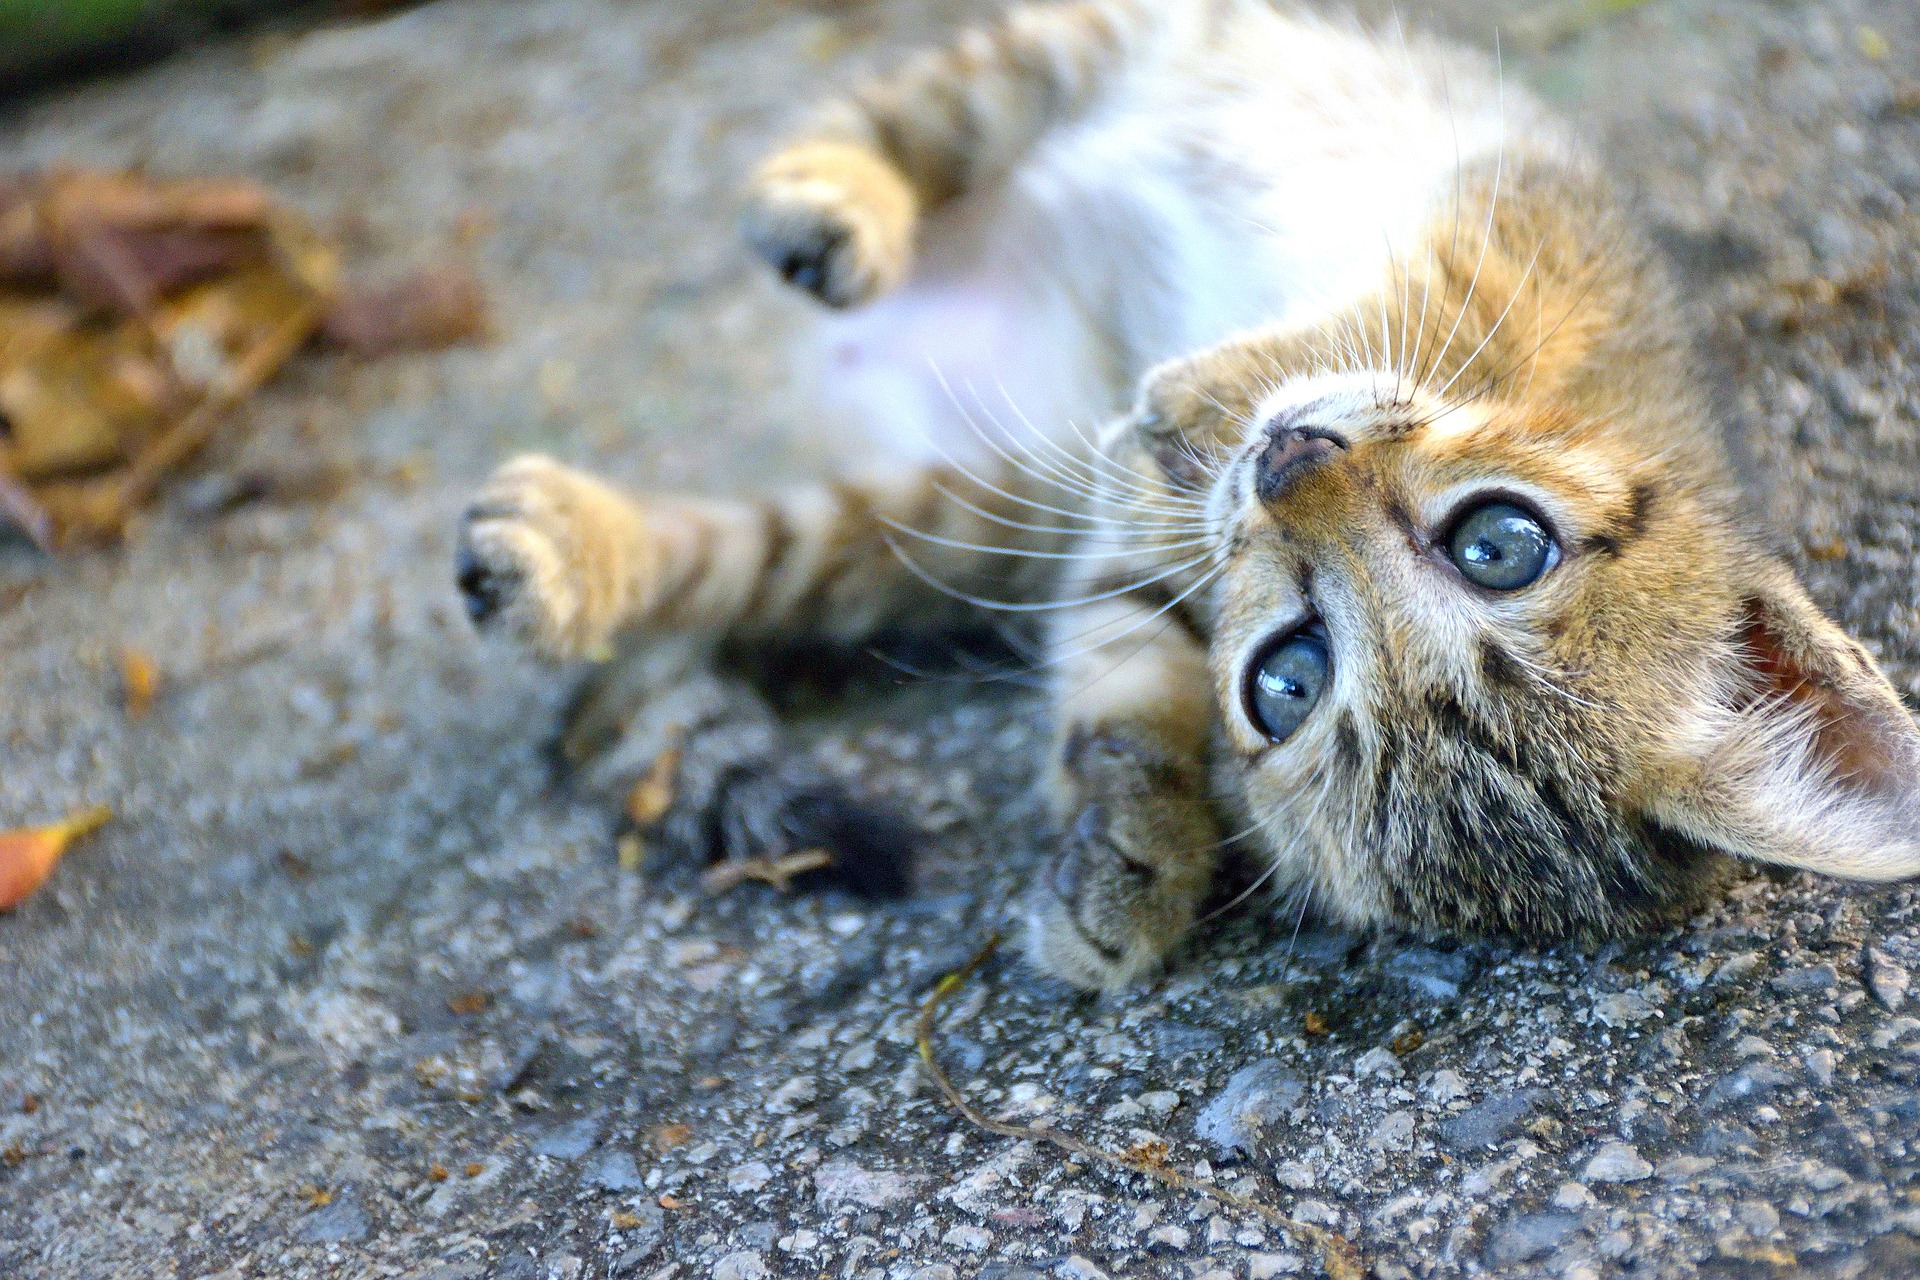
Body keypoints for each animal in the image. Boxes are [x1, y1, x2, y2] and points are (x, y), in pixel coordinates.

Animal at [453, 0, 1920, 990]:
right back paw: (831, 208)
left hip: (960, 508)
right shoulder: (1524, 220)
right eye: (1503, 543)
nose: (1289, 469)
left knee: (749, 563)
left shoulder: (1116, 562)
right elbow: (1437, 300)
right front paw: (1208, 397)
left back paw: (570, 555)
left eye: (1286, 679)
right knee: (928, 110)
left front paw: (1133, 848)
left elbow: (1121, 684)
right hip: (1126, 53)